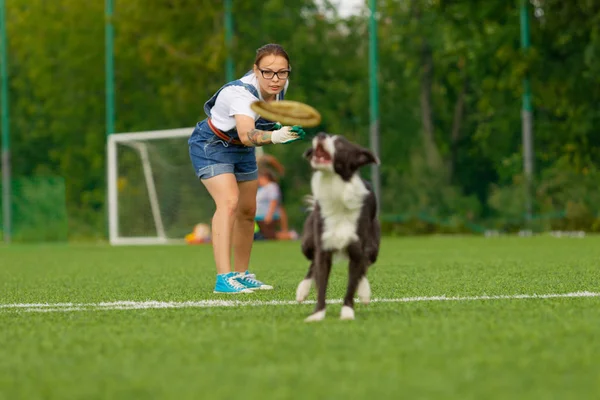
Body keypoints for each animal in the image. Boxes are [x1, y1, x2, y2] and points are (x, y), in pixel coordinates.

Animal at [296, 132, 384, 322]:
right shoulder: (323, 245)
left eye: (341, 145)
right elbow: (321, 280)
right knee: (312, 263)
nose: (320, 134)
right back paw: (302, 291)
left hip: (373, 245)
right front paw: (317, 314)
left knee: (366, 263)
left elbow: (353, 282)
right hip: (307, 243)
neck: (334, 185)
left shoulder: (357, 247)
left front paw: (347, 313)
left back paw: (364, 292)